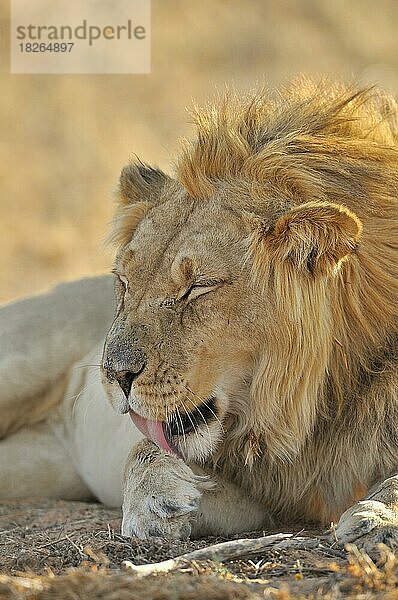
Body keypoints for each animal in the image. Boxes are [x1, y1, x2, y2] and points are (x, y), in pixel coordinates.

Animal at [0, 81, 398, 552]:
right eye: (124, 281)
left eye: (198, 286)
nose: (113, 375)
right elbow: (146, 448)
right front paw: (155, 500)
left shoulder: (263, 502)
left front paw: (378, 518)